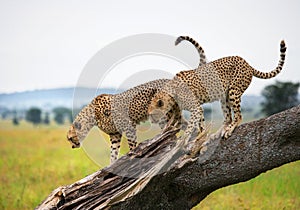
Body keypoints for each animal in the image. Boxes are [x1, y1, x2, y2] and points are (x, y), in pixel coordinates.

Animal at [149, 37, 288, 140]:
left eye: (152, 113)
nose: (152, 121)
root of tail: (246, 63)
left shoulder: (196, 107)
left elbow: (198, 124)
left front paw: (197, 137)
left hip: (233, 91)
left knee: (238, 116)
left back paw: (229, 130)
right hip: (224, 97)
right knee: (228, 117)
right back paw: (218, 132)